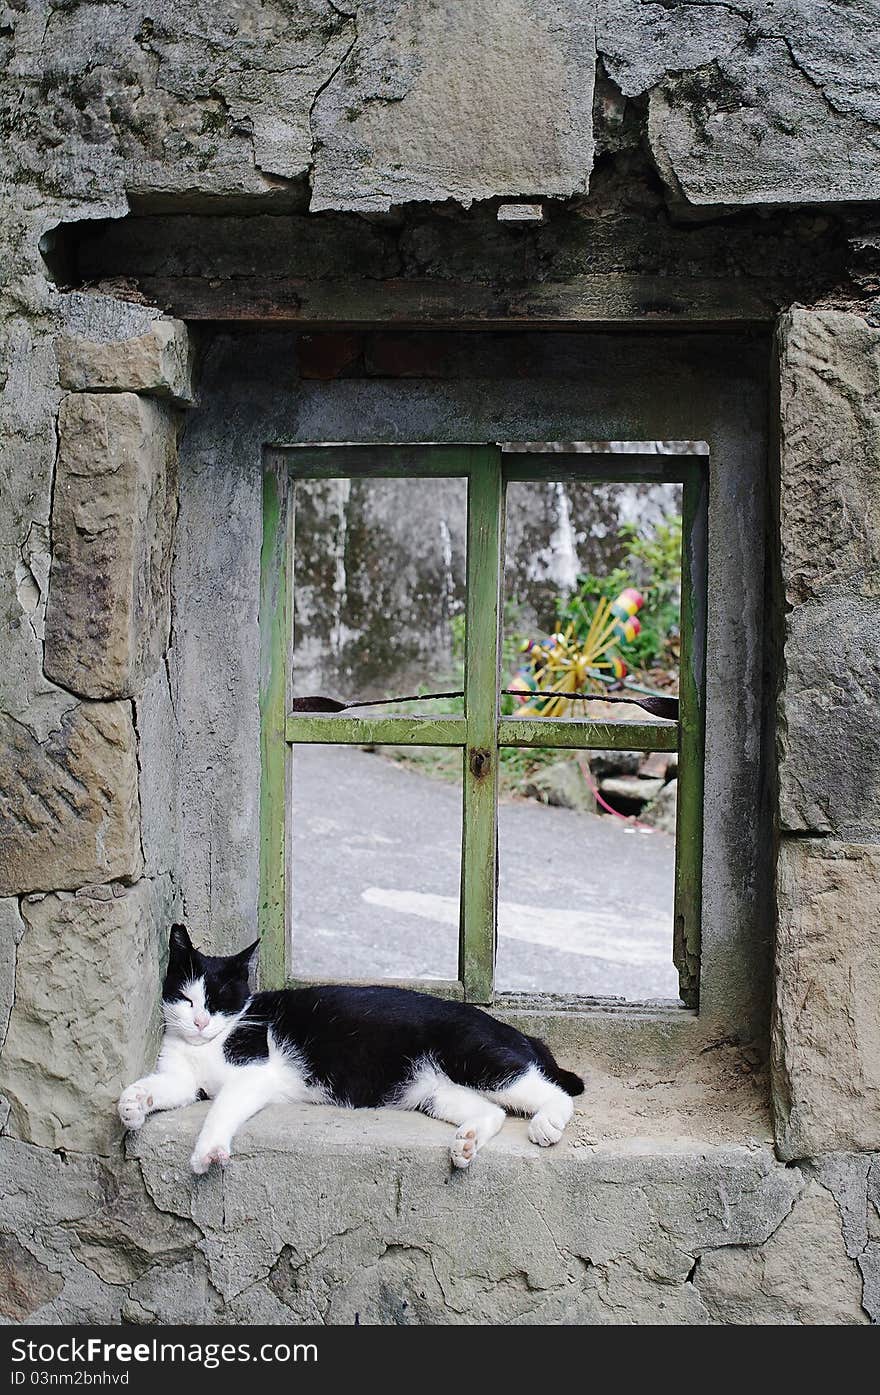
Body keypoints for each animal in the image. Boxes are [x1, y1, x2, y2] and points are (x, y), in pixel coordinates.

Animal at [117, 926, 585, 1177]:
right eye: (186, 999)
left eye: (217, 1002)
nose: (199, 1023)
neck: (212, 1043)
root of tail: (508, 1028)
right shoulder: (183, 1078)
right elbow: (167, 1087)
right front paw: (133, 1104)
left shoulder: (254, 1072)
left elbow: (222, 1107)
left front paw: (207, 1151)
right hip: (435, 1091)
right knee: (493, 1111)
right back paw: (466, 1144)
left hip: (474, 1056)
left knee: (548, 1090)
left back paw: (546, 1124)